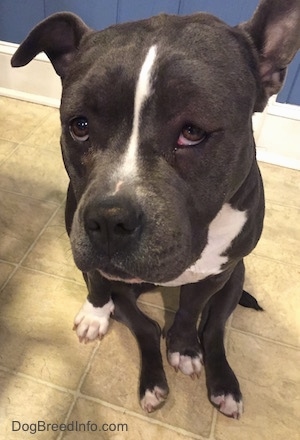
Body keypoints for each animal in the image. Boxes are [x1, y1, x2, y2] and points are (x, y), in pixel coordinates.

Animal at [11, 0, 300, 420]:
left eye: (192, 132)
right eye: (79, 125)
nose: (109, 220)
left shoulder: (216, 274)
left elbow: (190, 313)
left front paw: (182, 347)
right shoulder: (97, 265)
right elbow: (115, 299)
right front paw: (96, 316)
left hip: (236, 276)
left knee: (215, 329)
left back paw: (224, 386)